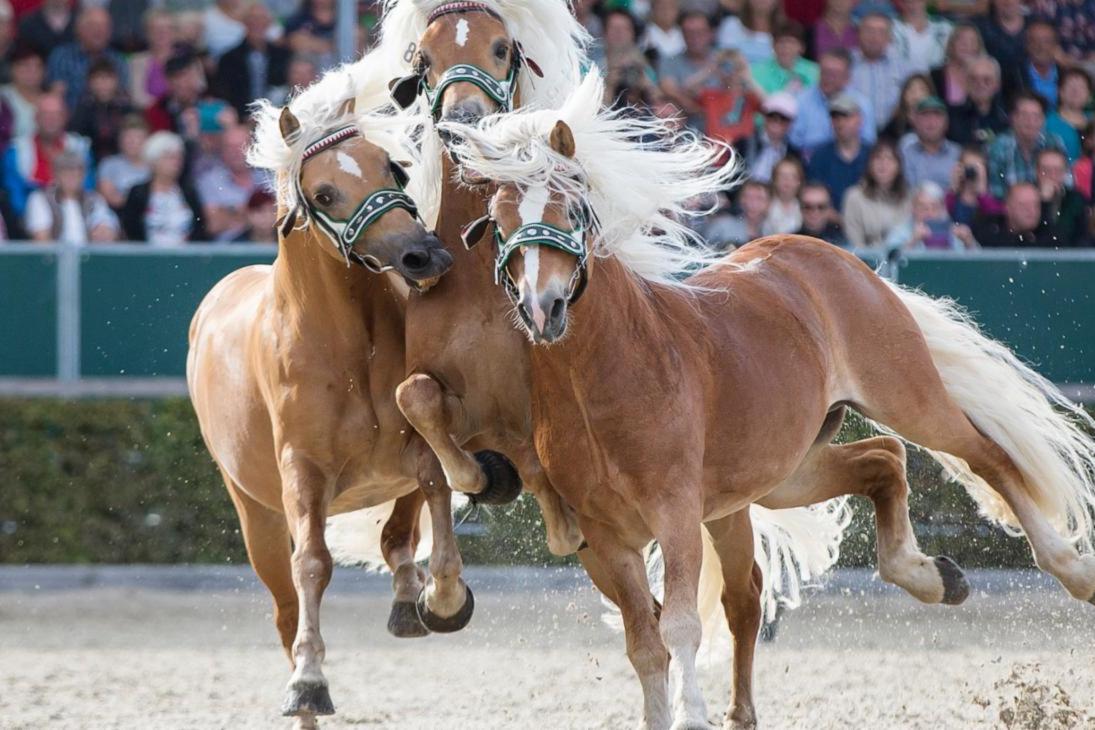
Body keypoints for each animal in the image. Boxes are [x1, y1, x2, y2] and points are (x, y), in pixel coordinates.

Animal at [185, 65, 466, 726]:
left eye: (392, 167)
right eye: (325, 193)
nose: (424, 255)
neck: (345, 347)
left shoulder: (406, 451)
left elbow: (432, 491)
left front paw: (438, 598)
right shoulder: (302, 473)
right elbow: (312, 564)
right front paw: (309, 682)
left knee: (397, 535)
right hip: (255, 513)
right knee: (286, 610)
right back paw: (303, 696)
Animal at [442, 70, 1095, 730]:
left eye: (572, 207)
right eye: (497, 222)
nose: (542, 308)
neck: (607, 374)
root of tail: (838, 258)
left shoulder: (675, 515)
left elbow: (679, 626)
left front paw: (692, 715)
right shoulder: (605, 540)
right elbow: (645, 645)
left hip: (907, 397)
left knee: (984, 455)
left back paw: (1072, 571)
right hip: (785, 473)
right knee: (880, 464)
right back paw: (931, 577)